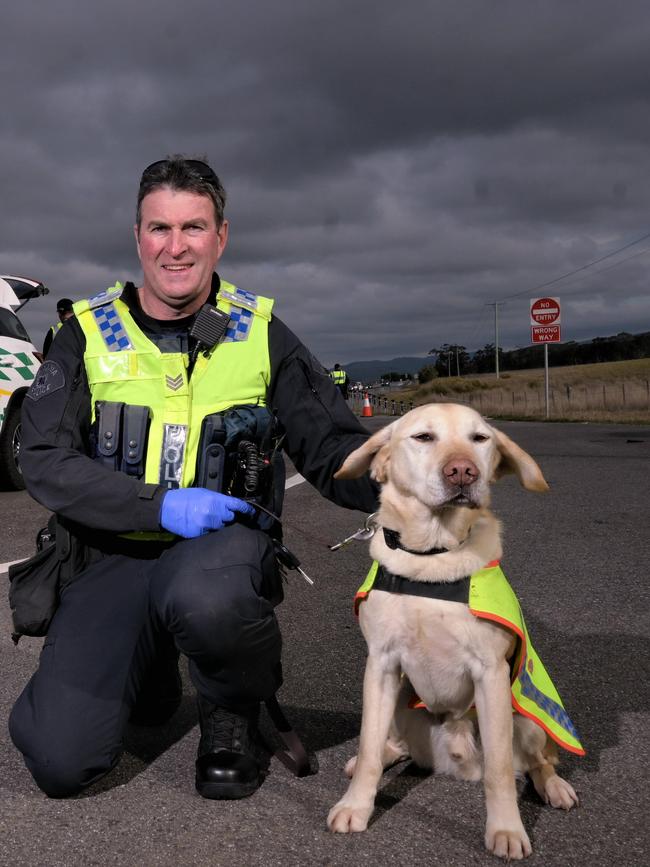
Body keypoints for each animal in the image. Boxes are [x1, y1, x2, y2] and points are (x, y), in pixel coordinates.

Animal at [330, 406, 576, 860]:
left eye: (480, 438)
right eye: (423, 437)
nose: (462, 471)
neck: (432, 557)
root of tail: (453, 761)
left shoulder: (491, 673)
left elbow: (499, 771)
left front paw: (507, 829)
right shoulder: (381, 665)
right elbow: (368, 746)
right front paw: (356, 805)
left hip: (526, 716)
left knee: (538, 762)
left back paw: (554, 787)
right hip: (400, 701)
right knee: (390, 745)